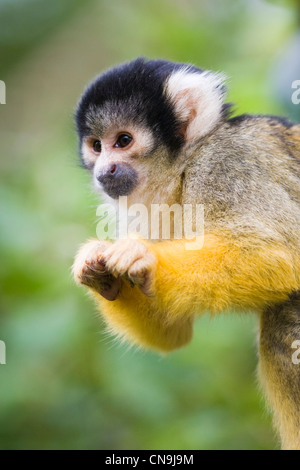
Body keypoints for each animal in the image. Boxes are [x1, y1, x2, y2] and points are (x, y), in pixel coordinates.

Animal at [73, 58, 300, 452]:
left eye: (123, 141)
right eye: (97, 146)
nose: (104, 170)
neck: (182, 169)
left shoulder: (225, 164)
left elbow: (276, 251)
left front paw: (146, 259)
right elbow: (173, 333)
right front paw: (101, 274)